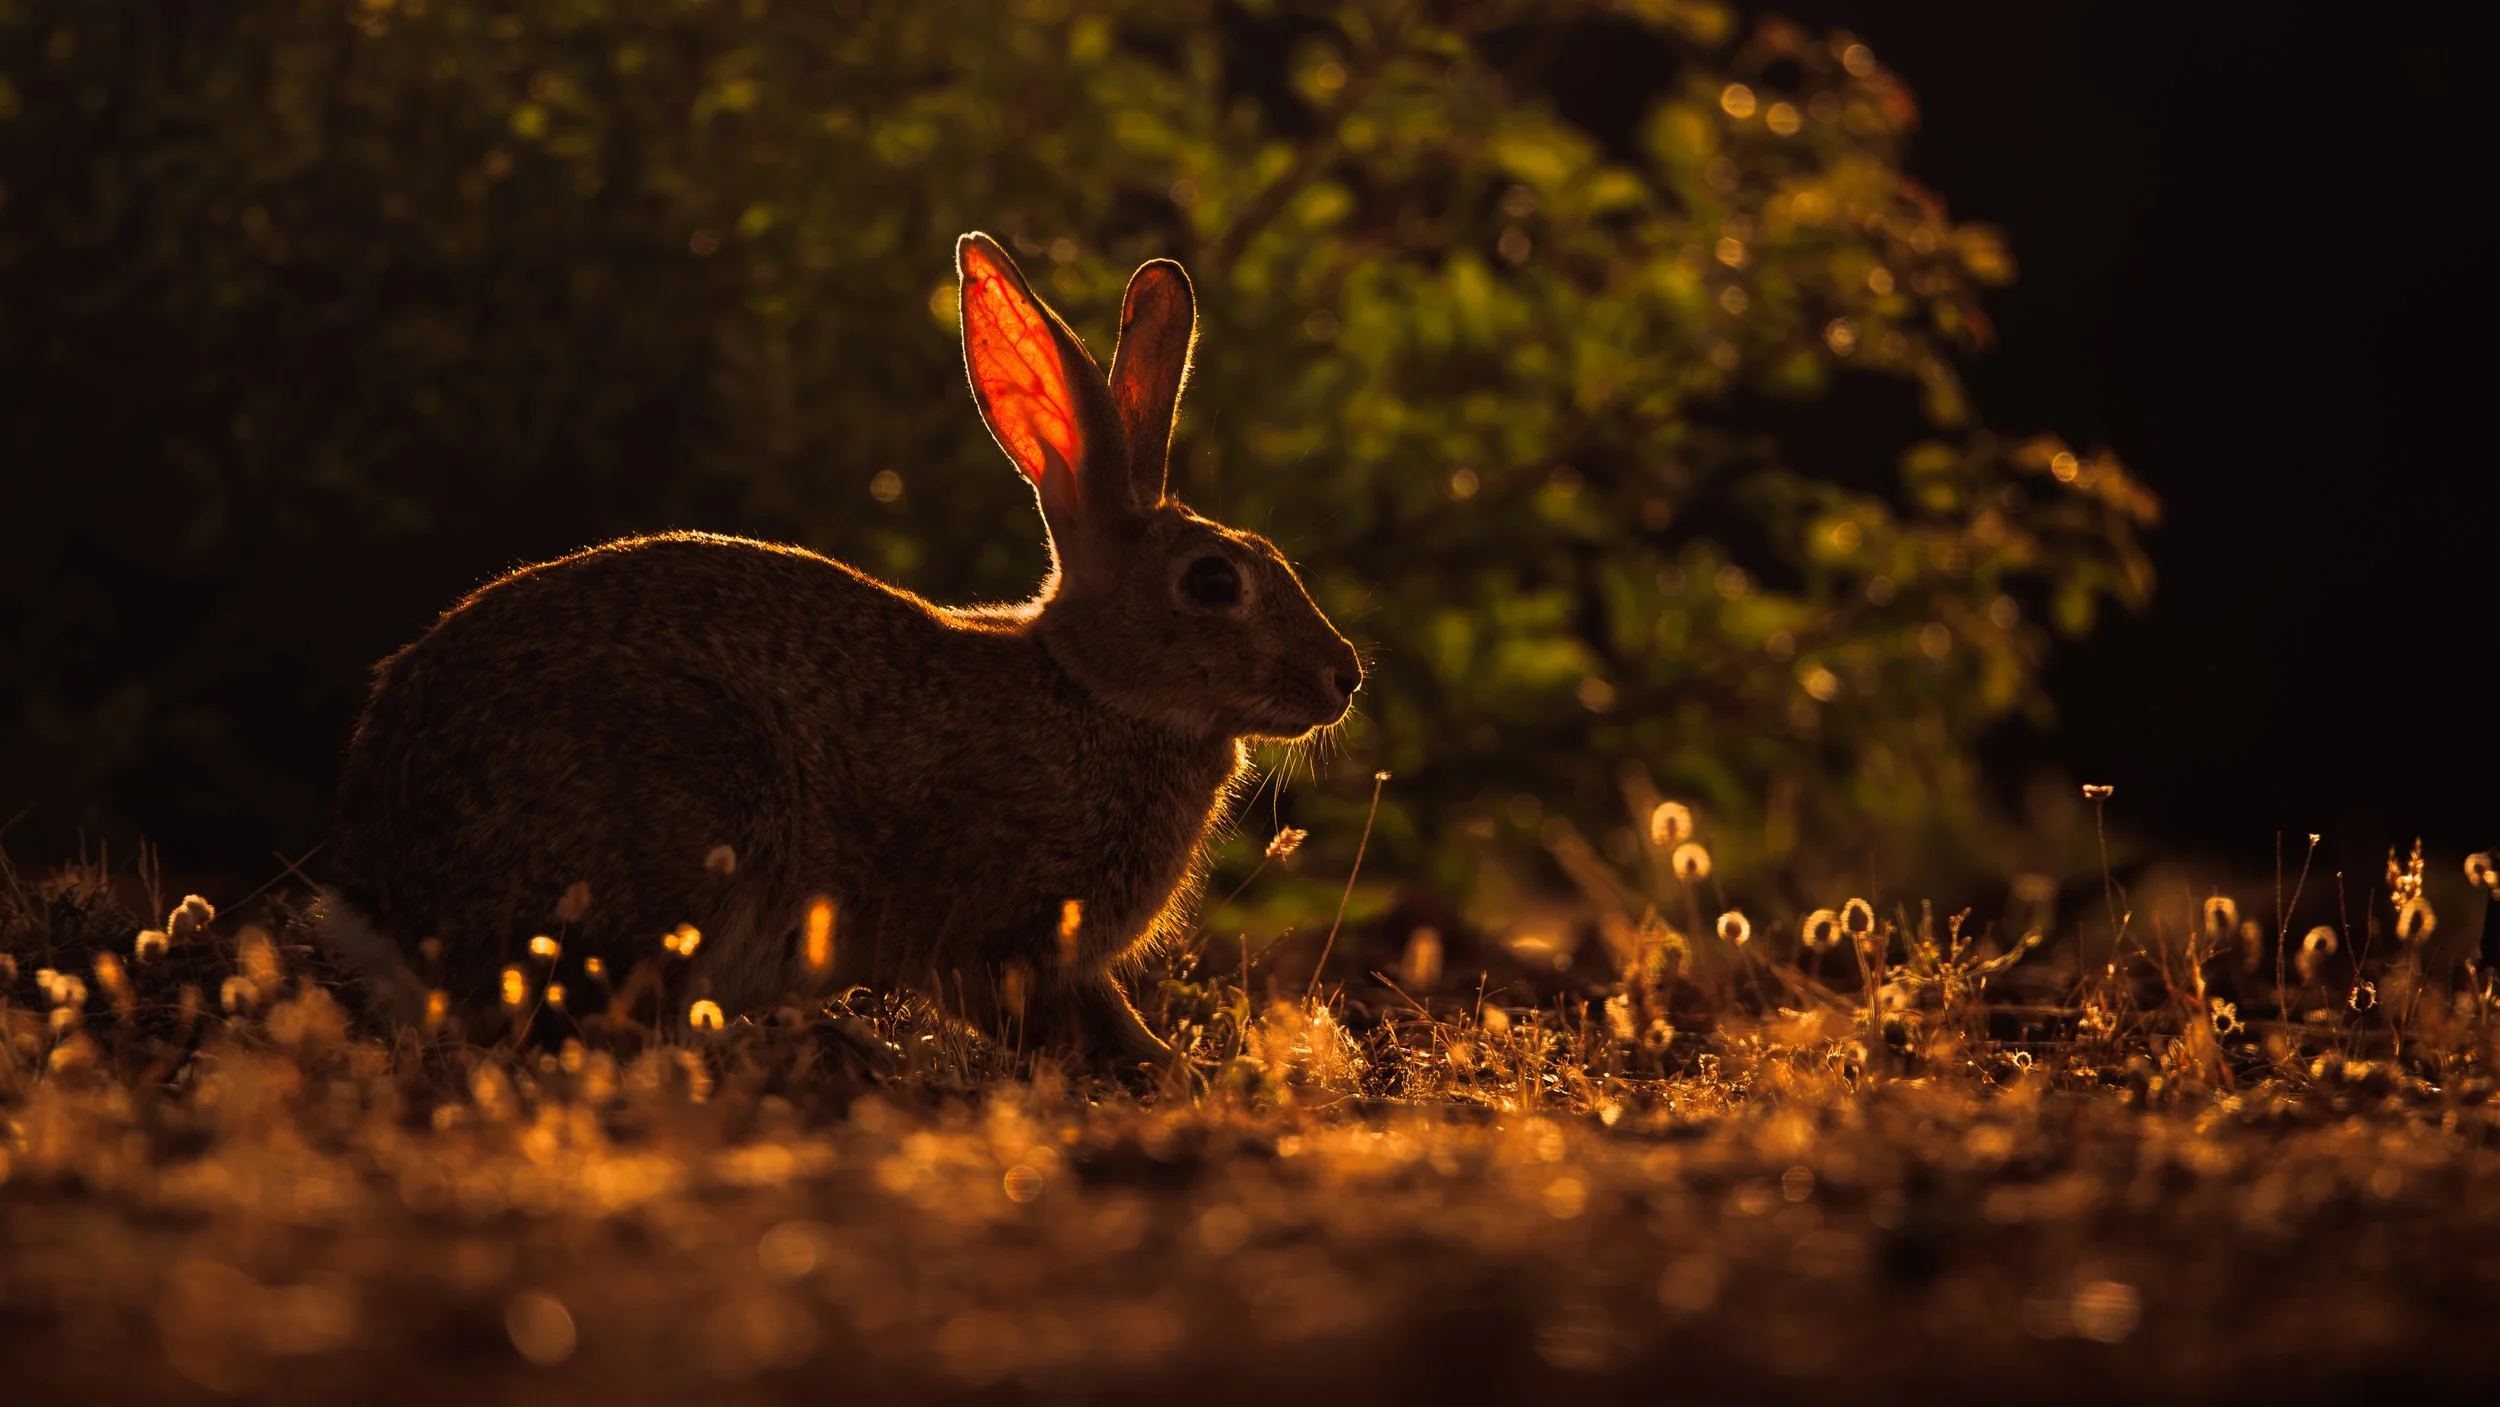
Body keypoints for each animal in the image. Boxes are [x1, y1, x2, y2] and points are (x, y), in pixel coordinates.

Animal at [315, 232, 1363, 1066]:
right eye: (1214, 583)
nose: (1343, 677)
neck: (1094, 691)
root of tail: (386, 889)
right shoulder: (1003, 937)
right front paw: (1176, 1076)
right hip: (683, 814)